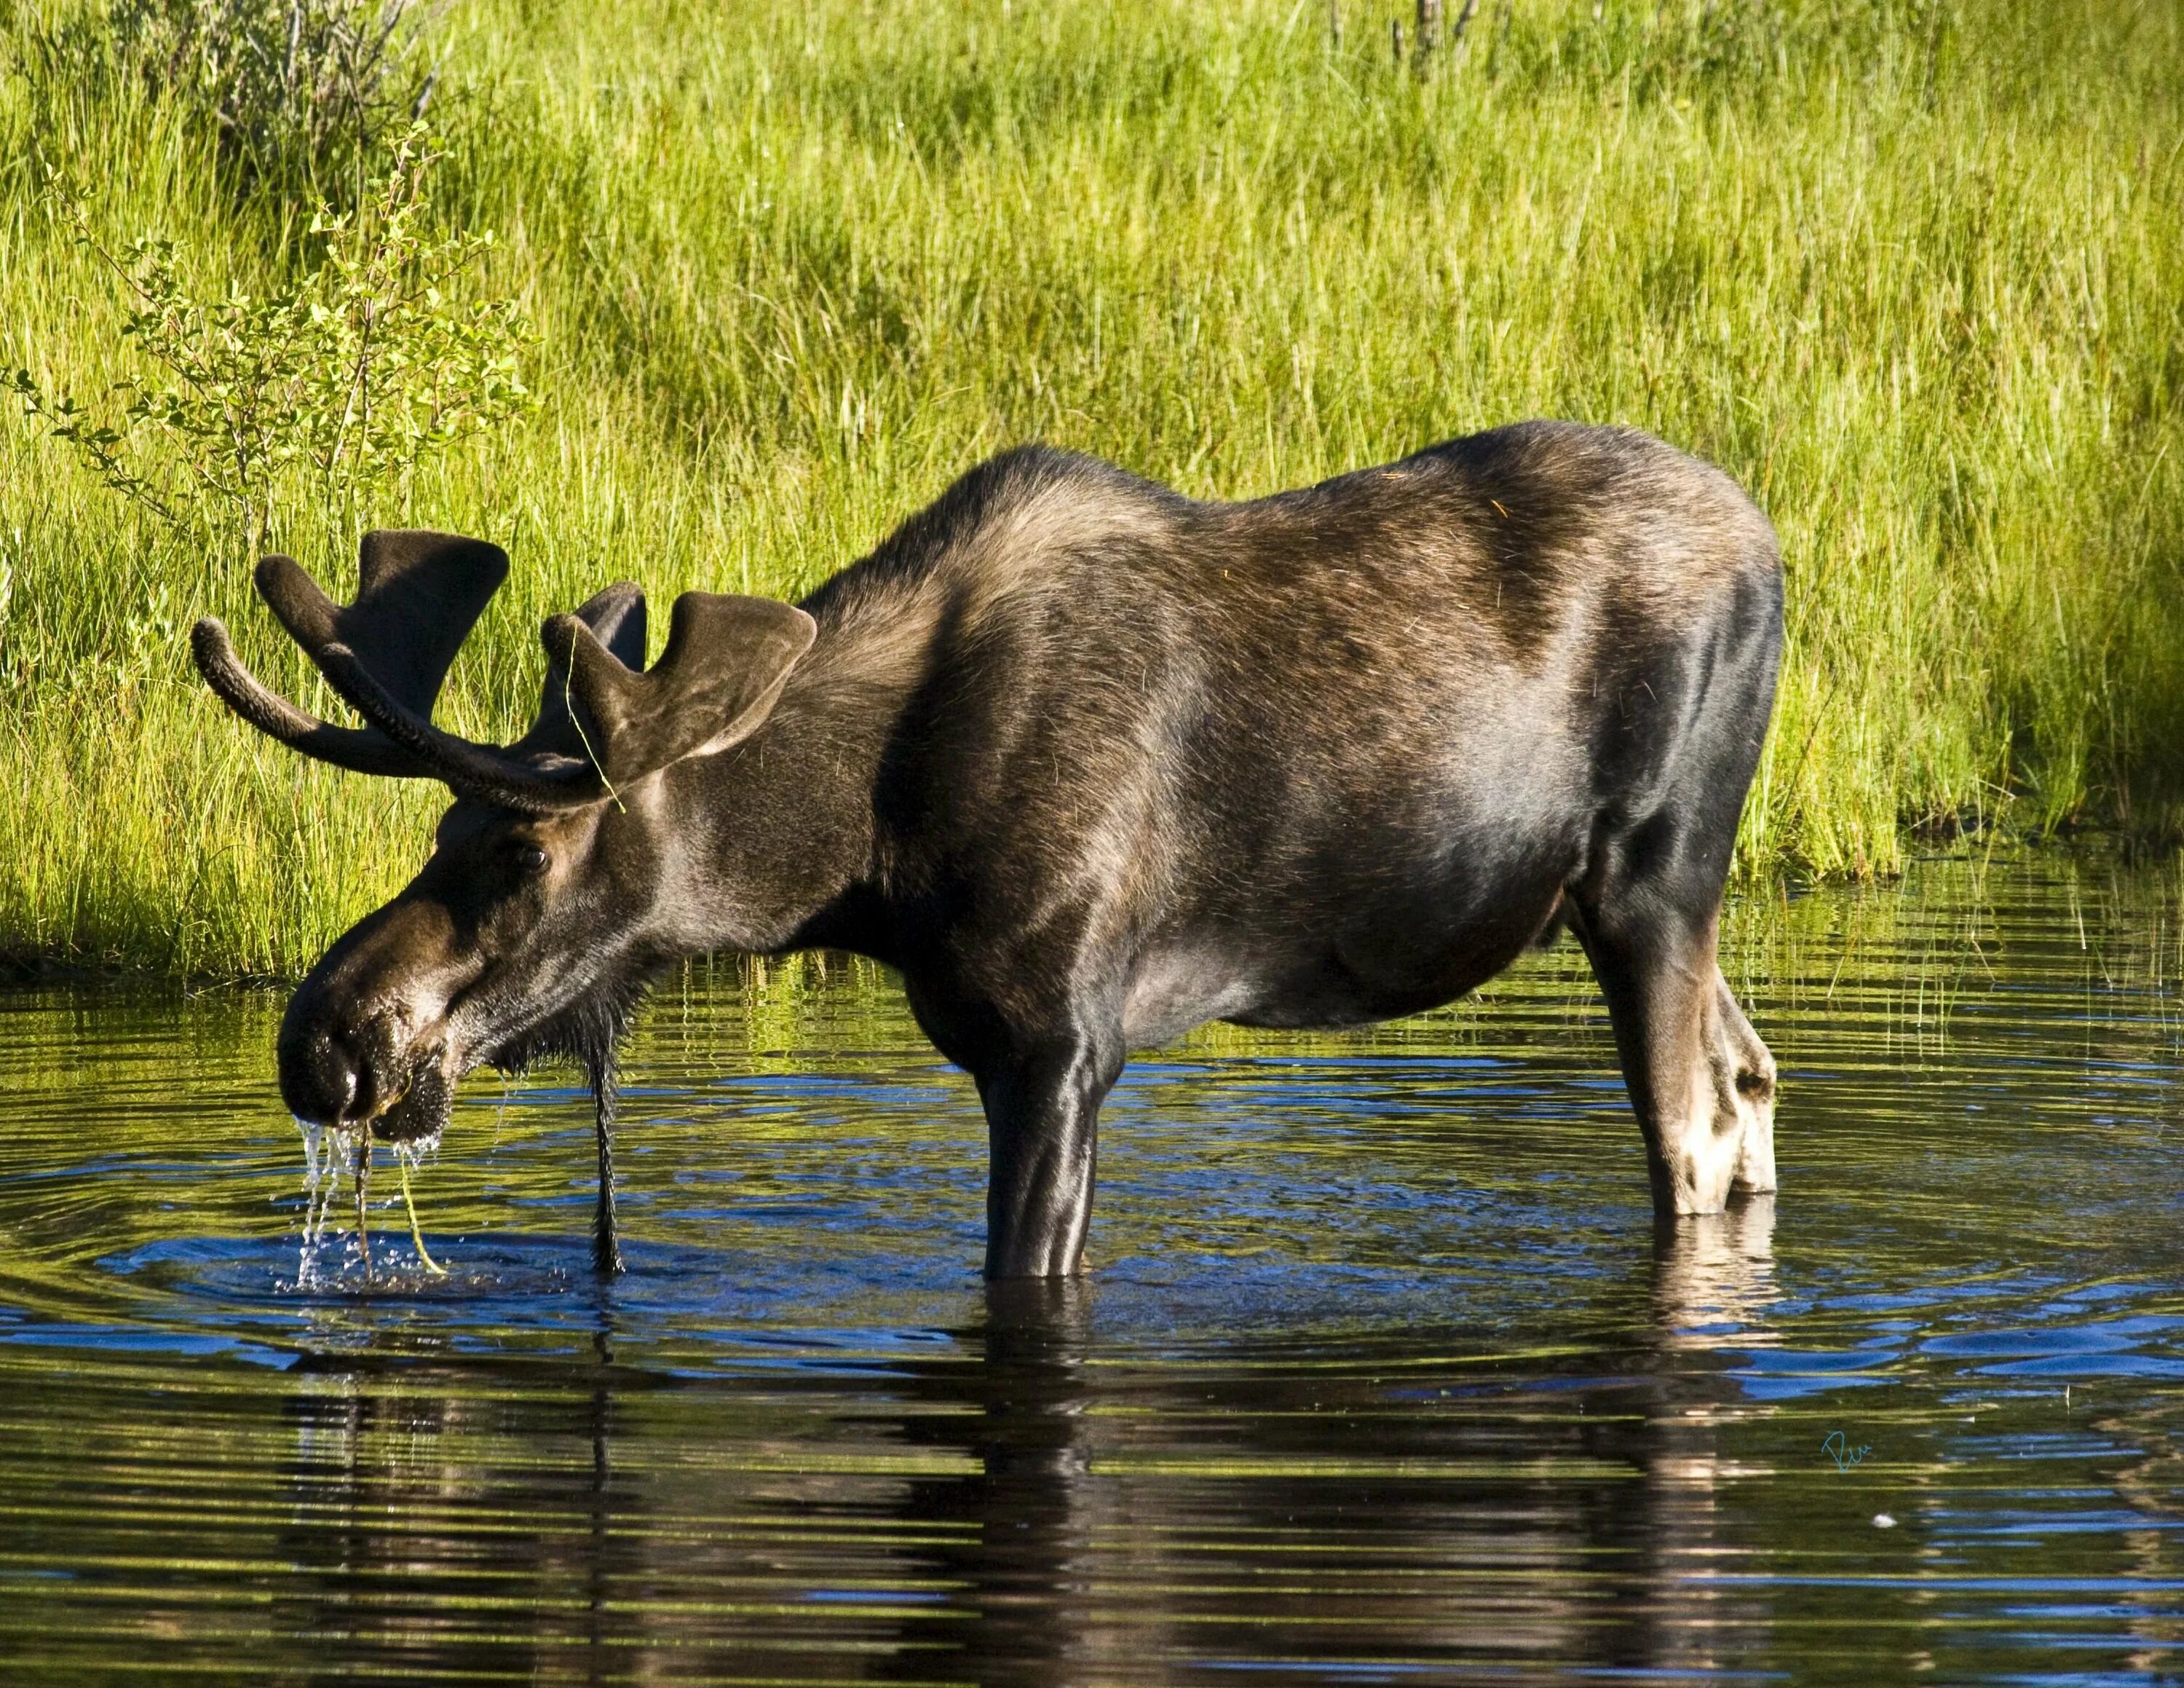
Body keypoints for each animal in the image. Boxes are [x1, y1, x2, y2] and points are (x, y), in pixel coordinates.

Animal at [197, 421, 1782, 1275]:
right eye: (442, 825)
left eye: (523, 854)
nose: (325, 1036)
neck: (863, 859)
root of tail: (1777, 545)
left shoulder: (1062, 1038)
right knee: (1753, 1073)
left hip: (1657, 866)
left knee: (1696, 1123)